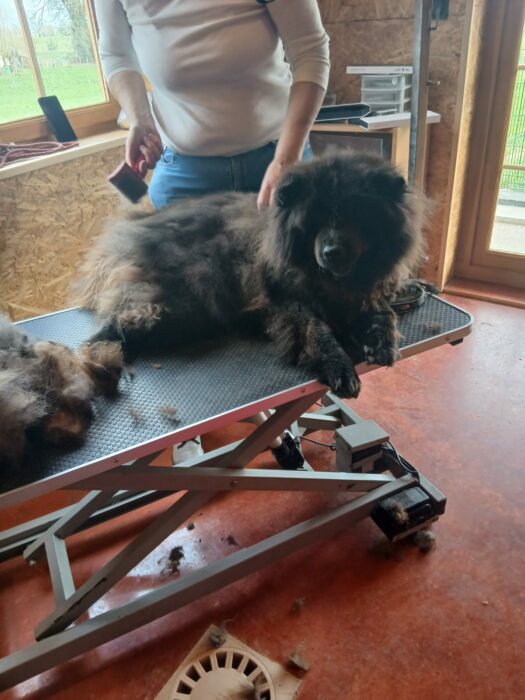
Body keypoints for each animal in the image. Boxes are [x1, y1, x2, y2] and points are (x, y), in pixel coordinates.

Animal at [76, 152, 425, 398]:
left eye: (356, 215)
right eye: (316, 220)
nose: (331, 251)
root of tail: (134, 227)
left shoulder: (367, 293)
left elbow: (385, 314)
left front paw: (383, 343)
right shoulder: (286, 302)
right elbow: (317, 331)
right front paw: (340, 367)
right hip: (186, 300)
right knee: (118, 323)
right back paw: (97, 358)